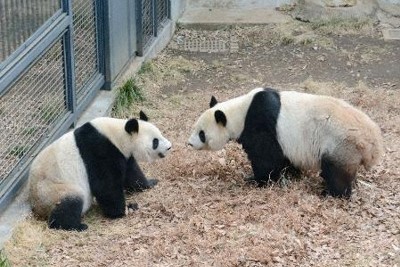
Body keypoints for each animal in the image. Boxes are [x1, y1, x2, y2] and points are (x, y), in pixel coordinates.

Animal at [29, 112, 170, 231]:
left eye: (160, 134)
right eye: (155, 141)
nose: (169, 147)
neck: (118, 135)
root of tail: (38, 208)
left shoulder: (123, 154)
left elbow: (132, 173)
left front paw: (150, 183)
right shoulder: (99, 150)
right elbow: (106, 185)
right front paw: (124, 210)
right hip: (52, 189)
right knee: (70, 202)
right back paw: (75, 226)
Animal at [188, 88, 384, 199]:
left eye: (202, 134)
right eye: (195, 128)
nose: (189, 144)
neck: (240, 112)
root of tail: (373, 143)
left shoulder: (261, 123)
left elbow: (266, 157)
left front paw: (256, 180)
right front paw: (292, 173)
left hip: (341, 144)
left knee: (336, 172)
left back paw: (330, 194)